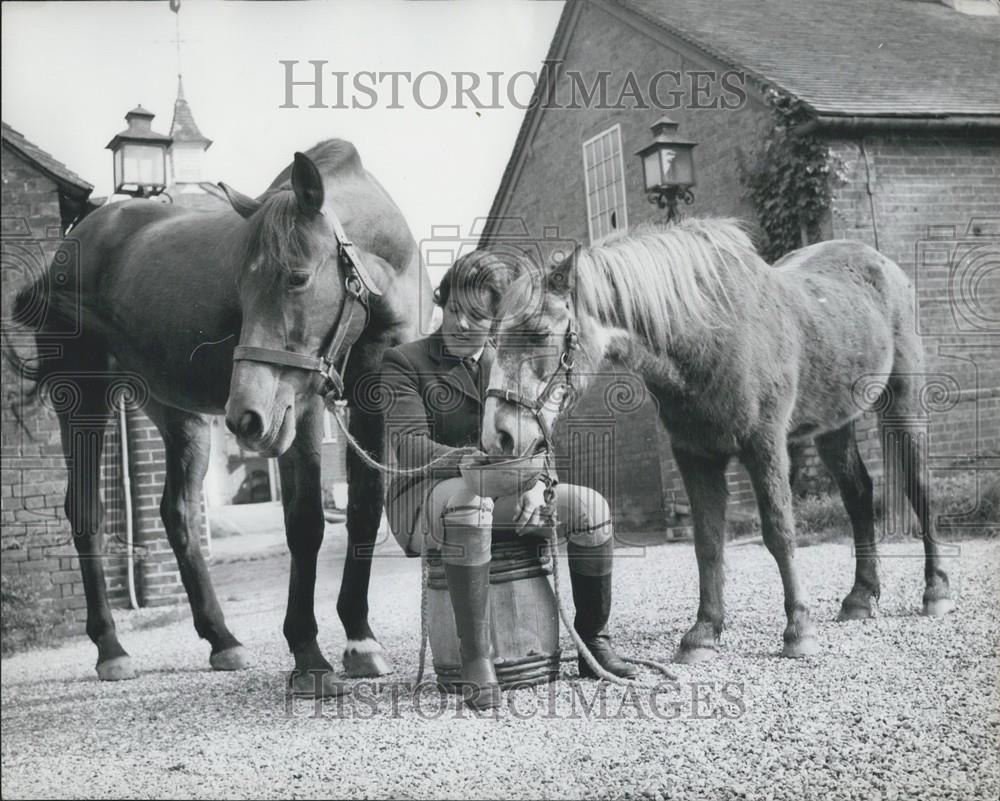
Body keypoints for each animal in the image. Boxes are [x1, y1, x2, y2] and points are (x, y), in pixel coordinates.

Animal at [7, 138, 430, 692]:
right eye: (241, 287)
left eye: (297, 278)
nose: (247, 415)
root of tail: (74, 240)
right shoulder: (301, 406)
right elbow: (306, 521)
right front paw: (308, 652)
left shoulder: (369, 393)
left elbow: (362, 510)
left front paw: (360, 640)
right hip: (82, 397)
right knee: (86, 513)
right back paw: (111, 648)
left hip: (178, 414)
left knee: (178, 512)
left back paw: (221, 638)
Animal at [482, 217, 952, 664]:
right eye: (494, 339)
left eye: (539, 332)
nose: (499, 434)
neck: (708, 335)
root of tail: (881, 264)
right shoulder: (695, 456)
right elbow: (707, 543)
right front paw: (704, 633)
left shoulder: (765, 446)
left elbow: (780, 533)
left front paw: (798, 630)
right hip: (834, 427)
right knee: (858, 495)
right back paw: (860, 597)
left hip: (902, 404)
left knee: (920, 489)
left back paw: (936, 591)